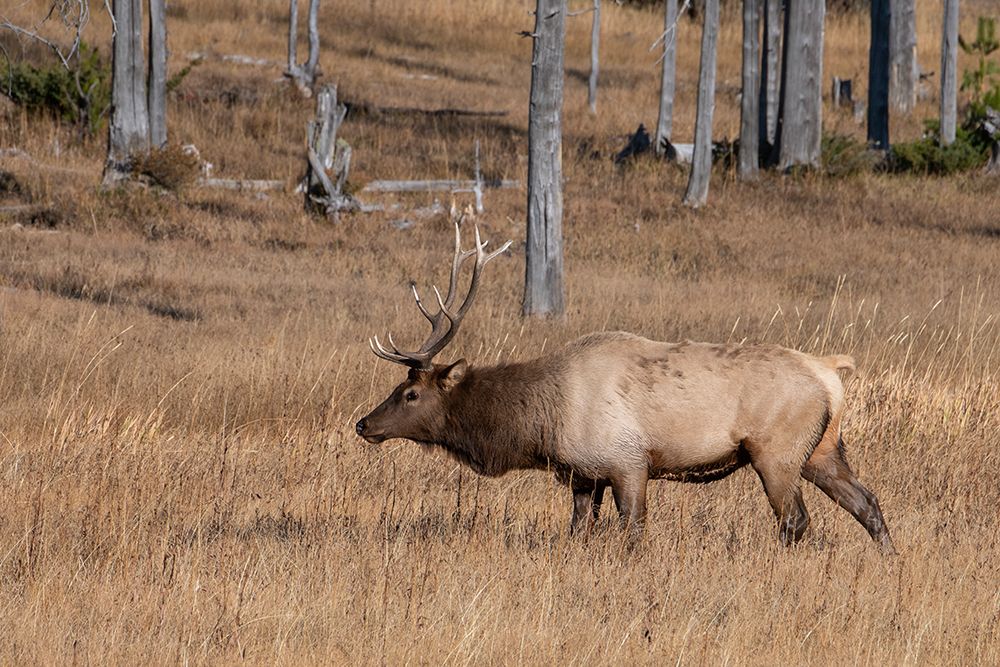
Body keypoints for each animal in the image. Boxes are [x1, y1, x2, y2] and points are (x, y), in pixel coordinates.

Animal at [356, 223, 896, 554]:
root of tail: (830, 371)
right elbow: (578, 532)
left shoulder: (627, 462)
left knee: (795, 521)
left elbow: (633, 531)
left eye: (410, 394)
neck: (543, 421)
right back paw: (890, 561)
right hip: (822, 449)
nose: (363, 423)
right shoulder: (582, 474)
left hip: (777, 451)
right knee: (867, 502)